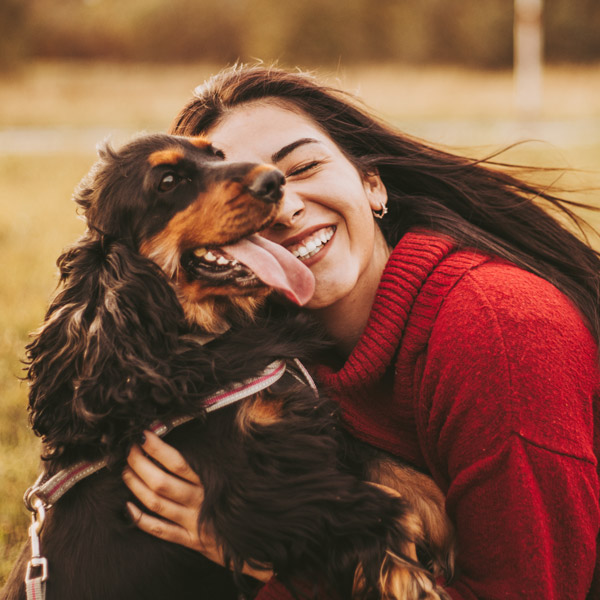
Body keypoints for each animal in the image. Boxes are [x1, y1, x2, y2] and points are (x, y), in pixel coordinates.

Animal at [2, 135, 452, 600]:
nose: (275, 181)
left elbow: (408, 480)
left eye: (216, 155)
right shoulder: (250, 486)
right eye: (168, 181)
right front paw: (414, 582)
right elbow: (382, 510)